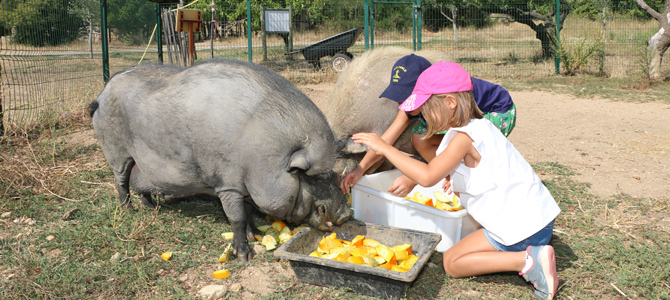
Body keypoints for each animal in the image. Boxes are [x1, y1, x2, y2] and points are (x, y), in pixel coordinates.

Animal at [91, 58, 354, 260]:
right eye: (311, 176)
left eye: (331, 172)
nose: (346, 214)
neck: (259, 156)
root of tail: (101, 93)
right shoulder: (227, 184)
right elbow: (237, 217)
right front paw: (244, 256)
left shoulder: (245, 187)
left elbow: (248, 213)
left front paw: (257, 234)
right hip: (116, 151)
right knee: (121, 181)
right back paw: (128, 210)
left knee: (140, 186)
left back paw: (148, 207)